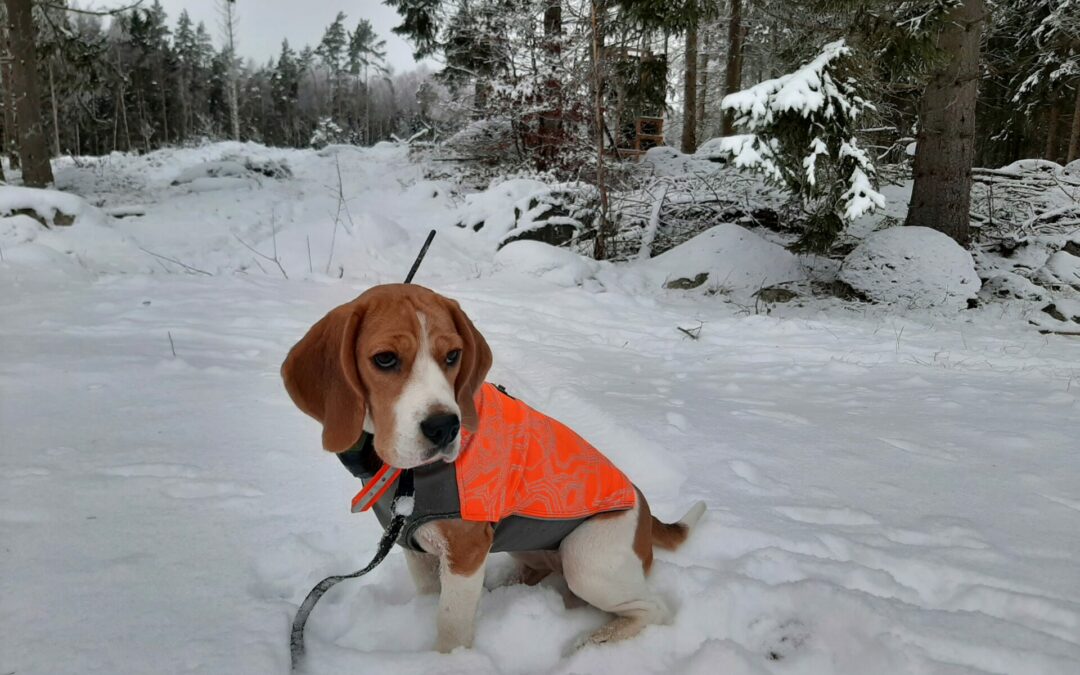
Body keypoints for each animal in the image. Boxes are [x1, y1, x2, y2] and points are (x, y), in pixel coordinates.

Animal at [282, 280, 704, 652]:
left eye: (452, 356)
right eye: (385, 359)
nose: (445, 427)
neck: (408, 477)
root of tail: (646, 511)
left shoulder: (465, 550)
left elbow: (451, 624)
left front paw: (447, 662)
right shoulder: (414, 547)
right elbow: (430, 596)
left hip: (585, 557)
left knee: (654, 610)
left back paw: (597, 640)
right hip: (529, 546)